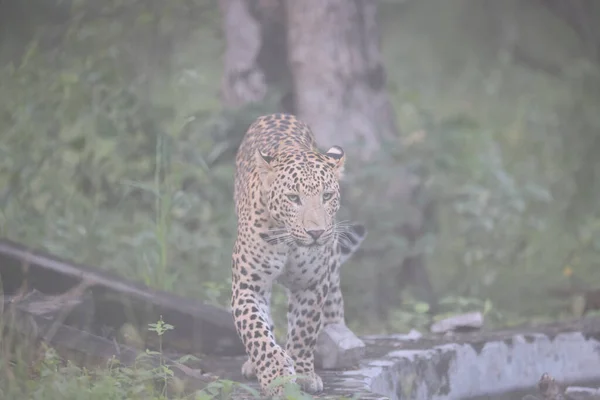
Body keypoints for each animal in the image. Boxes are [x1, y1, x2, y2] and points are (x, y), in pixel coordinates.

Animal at [231, 113, 366, 396]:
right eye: (293, 198)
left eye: (327, 195)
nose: (316, 232)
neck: (290, 243)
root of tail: (277, 114)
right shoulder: (248, 285)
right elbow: (257, 333)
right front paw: (276, 377)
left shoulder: (312, 284)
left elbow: (305, 328)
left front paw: (303, 375)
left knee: (334, 306)